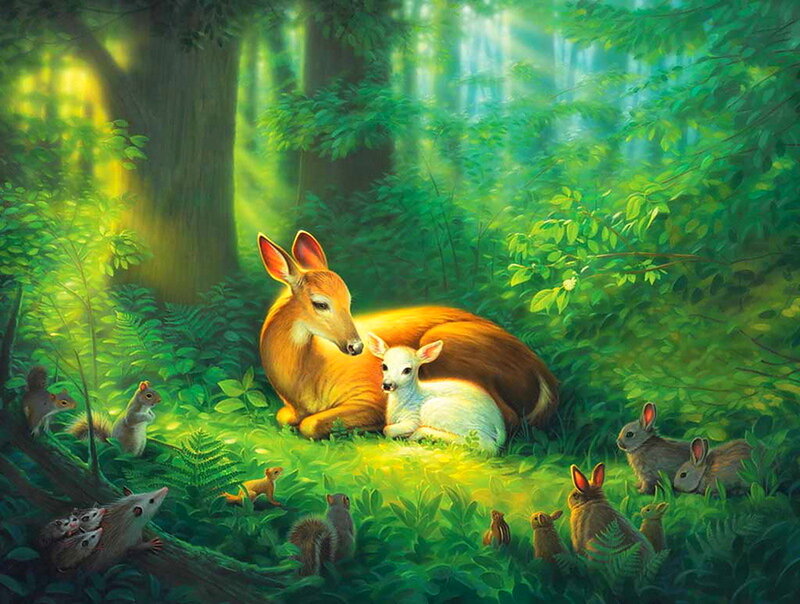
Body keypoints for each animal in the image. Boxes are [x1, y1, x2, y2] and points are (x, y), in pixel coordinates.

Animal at [257, 230, 558, 439]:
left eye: (349, 300)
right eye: (320, 303)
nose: (356, 346)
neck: (305, 379)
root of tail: (542, 374)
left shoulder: (369, 395)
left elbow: (311, 424)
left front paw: (369, 426)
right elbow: (286, 418)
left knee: (507, 419)